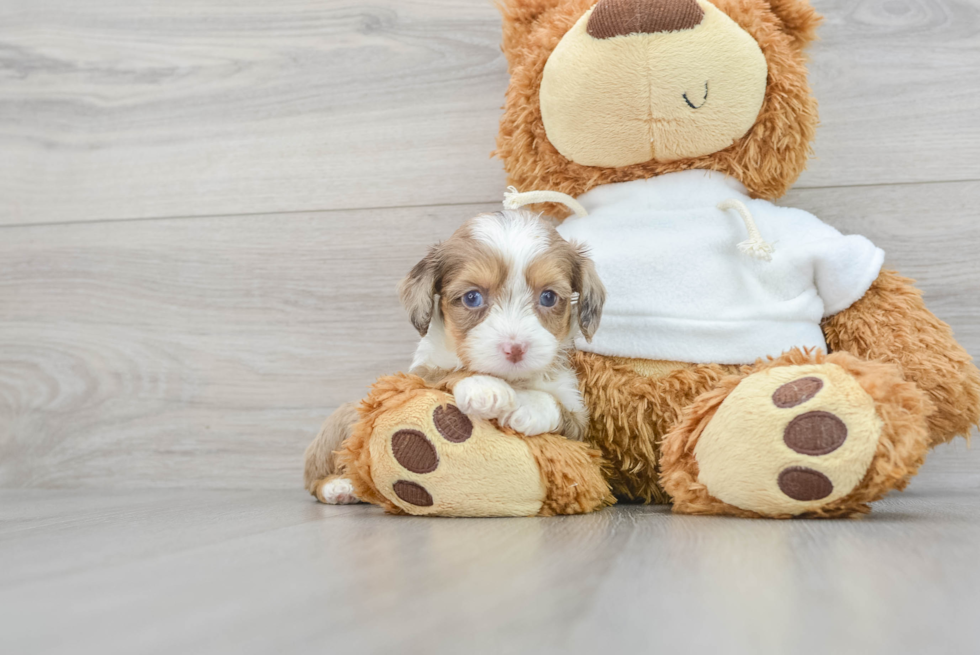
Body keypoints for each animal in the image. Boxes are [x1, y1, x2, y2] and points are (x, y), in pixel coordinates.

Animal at [302, 213, 600, 504]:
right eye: (472, 297)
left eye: (548, 297)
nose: (515, 349)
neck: (514, 381)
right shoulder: (421, 374)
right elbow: (450, 373)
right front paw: (485, 388)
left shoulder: (577, 422)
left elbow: (558, 407)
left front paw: (528, 407)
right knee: (315, 479)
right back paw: (339, 487)